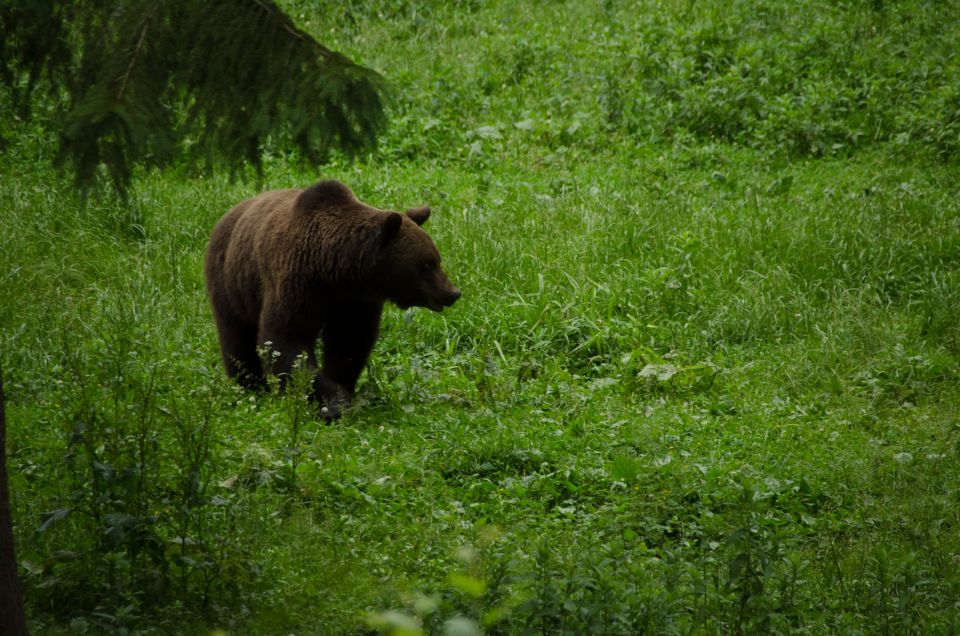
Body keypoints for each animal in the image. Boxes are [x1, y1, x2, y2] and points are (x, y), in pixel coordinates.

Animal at [203, 179, 462, 418]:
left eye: (436, 259)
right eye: (427, 263)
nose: (452, 292)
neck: (333, 270)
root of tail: (230, 213)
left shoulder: (353, 300)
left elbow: (349, 340)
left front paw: (341, 388)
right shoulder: (296, 281)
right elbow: (286, 339)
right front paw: (333, 401)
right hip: (231, 282)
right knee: (236, 337)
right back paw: (249, 386)